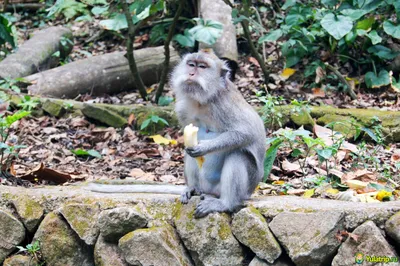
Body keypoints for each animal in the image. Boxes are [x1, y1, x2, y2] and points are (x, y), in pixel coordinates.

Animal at [88, 50, 268, 218]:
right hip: (205, 186)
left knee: (239, 154)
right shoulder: (182, 107)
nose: (191, 73)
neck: (203, 100)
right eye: (191, 64)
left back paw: (225, 203)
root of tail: (210, 191)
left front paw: (204, 147)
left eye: (202, 67)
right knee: (191, 157)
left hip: (241, 189)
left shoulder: (226, 104)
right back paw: (193, 189)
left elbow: (247, 132)